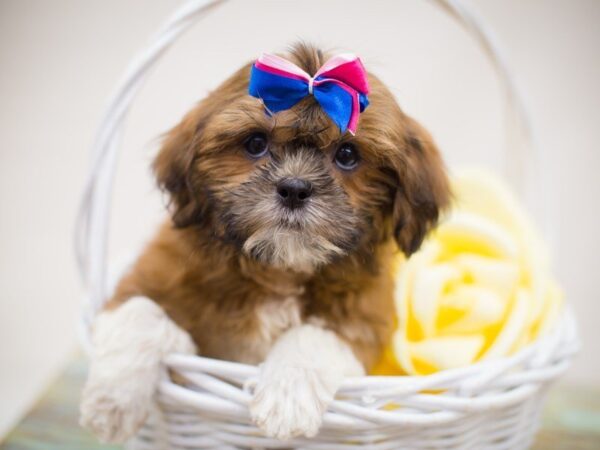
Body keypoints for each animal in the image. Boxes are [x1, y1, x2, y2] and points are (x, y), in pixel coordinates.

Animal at [79, 42, 448, 442]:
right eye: (255, 142)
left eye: (347, 155)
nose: (294, 188)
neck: (279, 268)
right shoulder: (153, 275)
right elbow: (141, 313)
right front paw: (112, 402)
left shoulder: (362, 319)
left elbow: (315, 336)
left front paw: (288, 396)